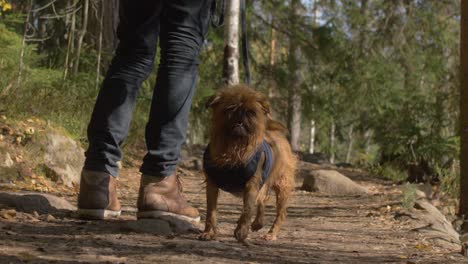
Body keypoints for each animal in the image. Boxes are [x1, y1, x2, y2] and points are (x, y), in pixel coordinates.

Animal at [197, 84, 296, 241]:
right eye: (230, 109)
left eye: (251, 112)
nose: (240, 116)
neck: (233, 149)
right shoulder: (212, 184)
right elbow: (211, 211)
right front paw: (209, 232)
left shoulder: (251, 184)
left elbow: (248, 208)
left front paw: (242, 231)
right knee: (262, 201)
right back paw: (257, 224)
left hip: (282, 186)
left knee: (280, 212)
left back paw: (271, 233)